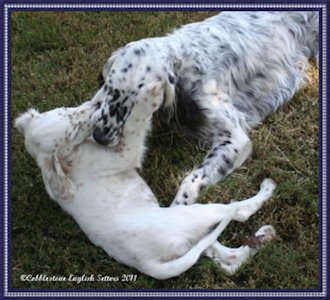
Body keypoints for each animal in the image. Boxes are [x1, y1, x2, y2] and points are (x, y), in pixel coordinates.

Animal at [16, 86, 278, 278]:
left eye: (67, 111)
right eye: (74, 130)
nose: (96, 108)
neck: (73, 156)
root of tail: (146, 264)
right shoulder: (122, 155)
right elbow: (134, 127)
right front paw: (148, 95)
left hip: (189, 241)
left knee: (228, 257)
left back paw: (263, 236)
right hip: (191, 215)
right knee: (237, 213)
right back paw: (265, 192)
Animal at [91, 10, 318, 205]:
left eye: (137, 104)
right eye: (108, 87)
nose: (99, 137)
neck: (184, 62)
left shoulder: (236, 139)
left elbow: (190, 179)